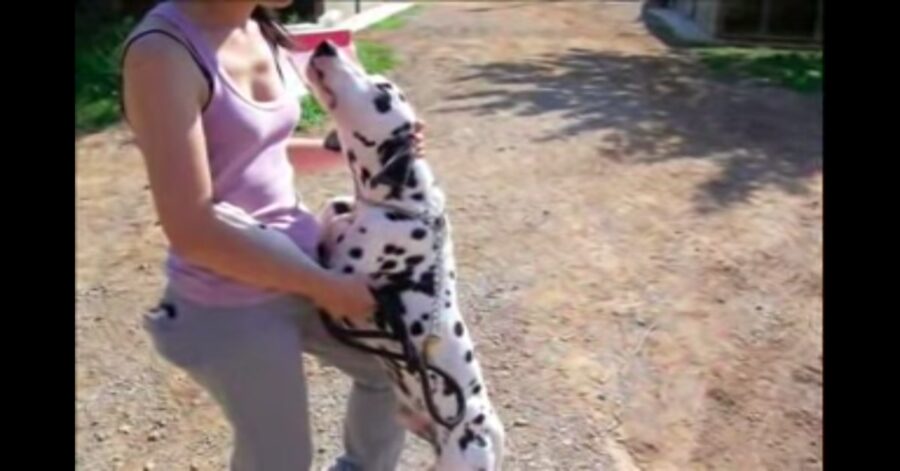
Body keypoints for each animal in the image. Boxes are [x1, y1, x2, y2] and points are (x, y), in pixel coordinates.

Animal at [304, 41, 502, 471]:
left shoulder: (338, 274)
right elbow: (332, 208)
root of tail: (491, 436)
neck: (402, 204)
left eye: (382, 92)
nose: (326, 45)